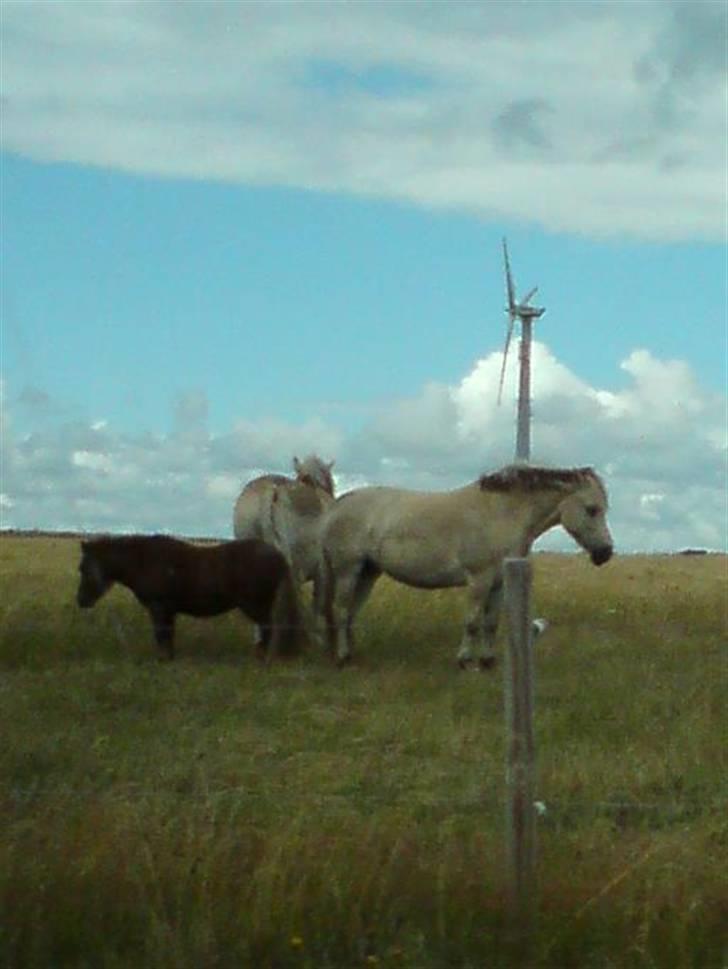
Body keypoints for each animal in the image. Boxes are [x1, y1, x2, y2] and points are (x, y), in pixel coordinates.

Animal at [74, 532, 302, 660]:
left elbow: (161, 636)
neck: (142, 561)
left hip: (256, 606)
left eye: (83, 568)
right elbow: (168, 638)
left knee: (267, 629)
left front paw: (162, 661)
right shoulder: (168, 612)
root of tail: (279, 556)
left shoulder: (158, 609)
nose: (81, 601)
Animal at [322, 466, 612, 664]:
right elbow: (472, 621)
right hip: (348, 571)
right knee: (342, 611)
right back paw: (343, 657)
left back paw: (353, 653)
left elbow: (491, 623)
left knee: (352, 612)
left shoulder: (499, 582)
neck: (499, 514)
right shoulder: (479, 579)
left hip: (368, 572)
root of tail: (338, 506)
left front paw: (487, 661)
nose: (605, 553)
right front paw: (464, 661)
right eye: (591, 509)